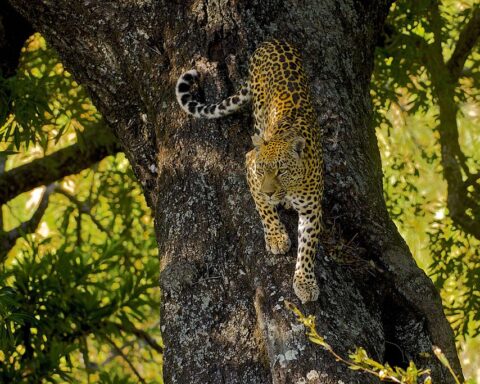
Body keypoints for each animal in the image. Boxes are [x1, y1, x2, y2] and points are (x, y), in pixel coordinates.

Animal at [174, 39, 324, 304]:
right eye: (263, 170)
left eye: (281, 171)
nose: (270, 192)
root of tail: (272, 41)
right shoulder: (251, 165)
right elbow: (263, 207)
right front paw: (276, 237)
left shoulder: (311, 208)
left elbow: (307, 248)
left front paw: (305, 282)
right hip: (258, 112)